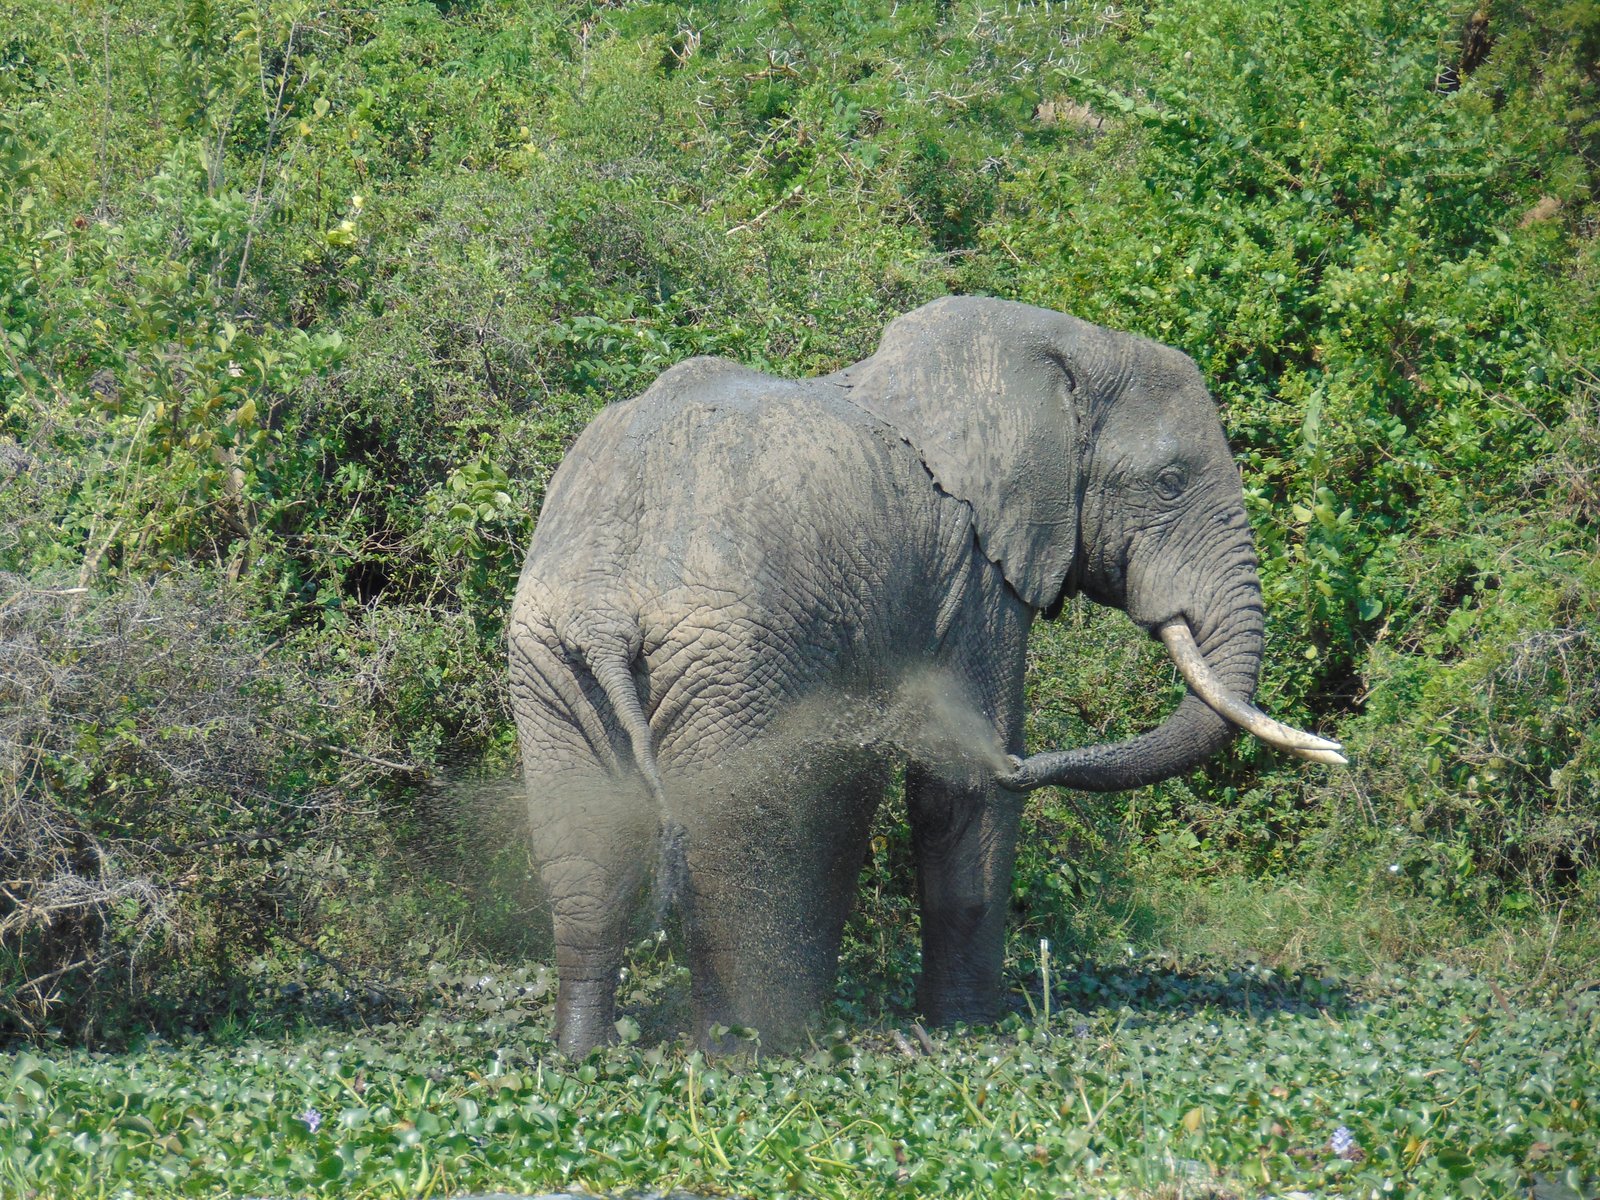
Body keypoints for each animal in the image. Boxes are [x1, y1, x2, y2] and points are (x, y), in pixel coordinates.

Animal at [508, 296, 1342, 1057]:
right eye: (1170, 481)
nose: (1335, 751)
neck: (1052, 343)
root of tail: (606, 606)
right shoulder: (976, 573)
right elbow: (951, 794)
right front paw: (970, 1030)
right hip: (728, 654)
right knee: (730, 841)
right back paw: (742, 1054)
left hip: (551, 659)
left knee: (584, 849)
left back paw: (584, 1053)